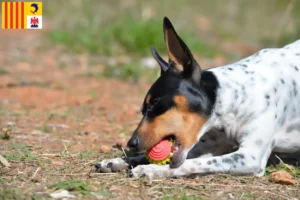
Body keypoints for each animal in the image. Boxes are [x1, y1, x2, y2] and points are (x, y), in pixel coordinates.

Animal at [95, 17, 300, 179]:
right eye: (143, 110)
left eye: (156, 103)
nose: (131, 143)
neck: (234, 96)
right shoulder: (208, 147)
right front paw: (118, 161)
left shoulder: (250, 157)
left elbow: (188, 164)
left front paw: (152, 169)